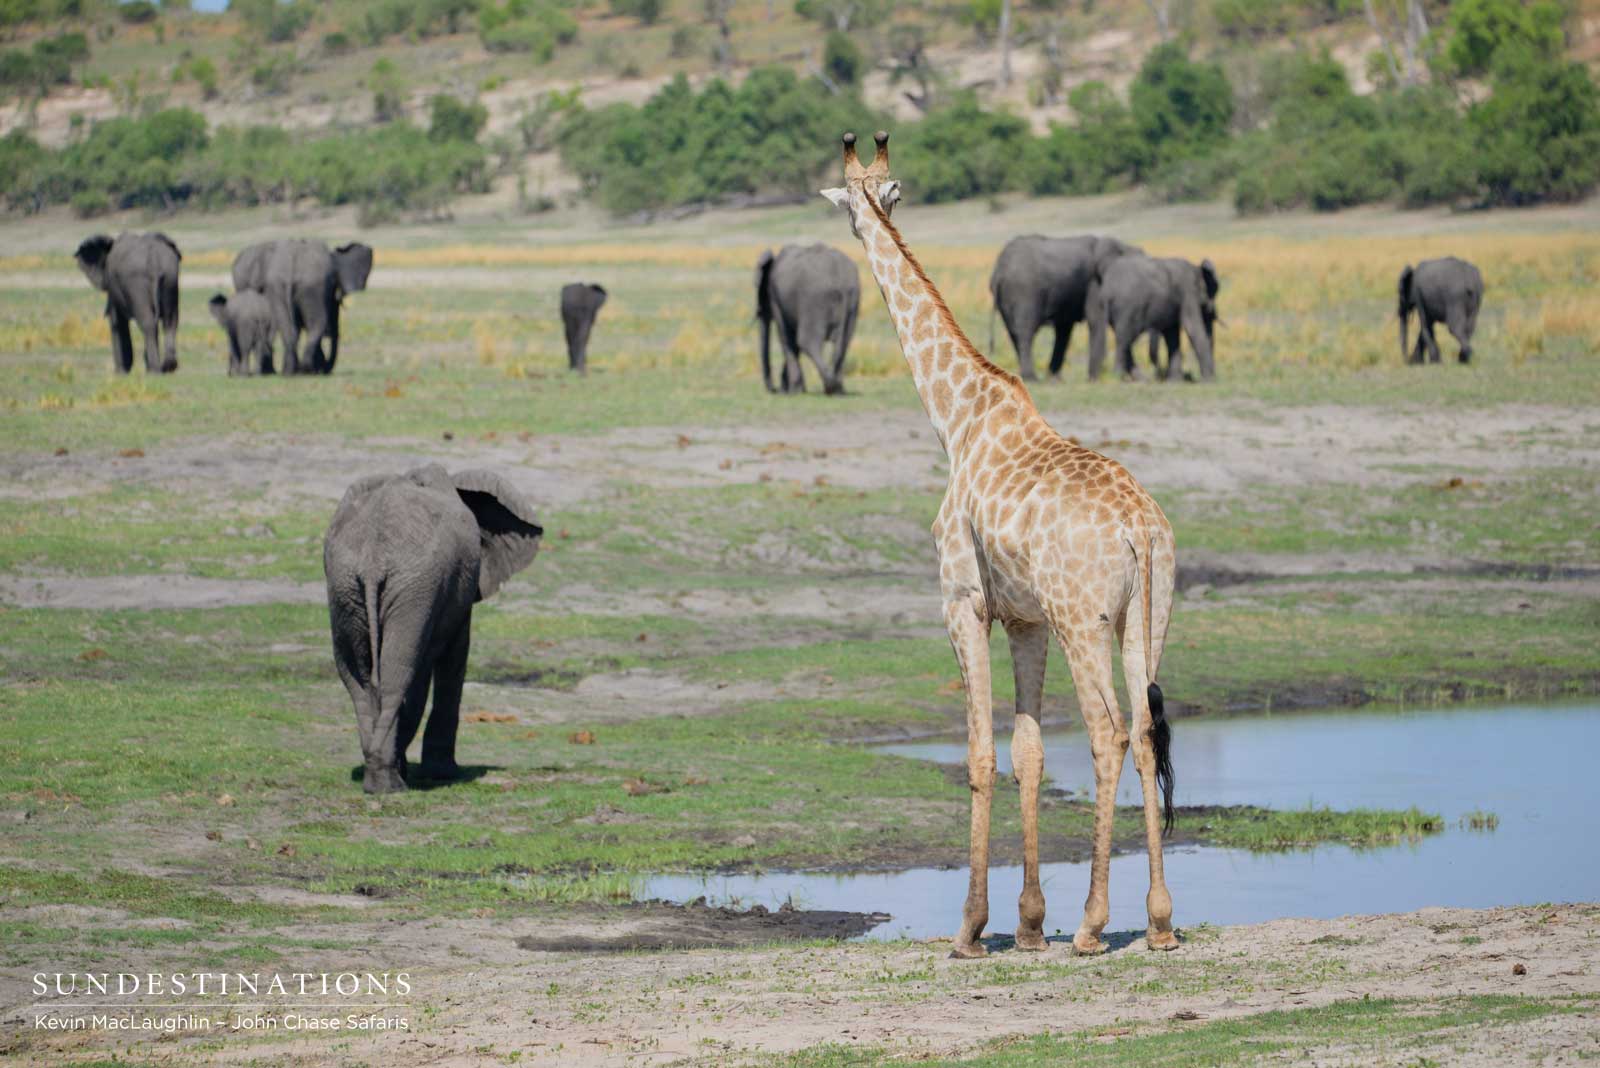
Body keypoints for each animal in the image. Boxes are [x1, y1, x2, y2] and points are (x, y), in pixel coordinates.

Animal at [74, 232, 181, 374]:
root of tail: (154, 261)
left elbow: (117, 323)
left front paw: (120, 373)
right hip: (170, 278)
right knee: (170, 321)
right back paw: (167, 367)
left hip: (136, 283)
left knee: (148, 323)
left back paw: (154, 370)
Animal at [232, 238, 373, 375]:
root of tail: (291, 266)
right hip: (311, 288)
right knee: (316, 325)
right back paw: (305, 369)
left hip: (279, 287)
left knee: (289, 329)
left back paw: (289, 371)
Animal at [324, 465, 543, 794]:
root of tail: (374, 558)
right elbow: (453, 657)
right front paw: (443, 774)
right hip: (408, 587)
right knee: (399, 673)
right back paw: (391, 784)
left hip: (347, 587)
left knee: (360, 679)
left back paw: (378, 780)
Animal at [756, 244, 860, 395]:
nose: (775, 389)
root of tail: (842, 282)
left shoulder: (775, 296)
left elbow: (787, 339)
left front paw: (794, 390)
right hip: (853, 299)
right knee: (843, 343)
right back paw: (838, 389)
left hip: (814, 299)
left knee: (807, 342)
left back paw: (830, 386)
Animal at [987, 234, 1142, 381]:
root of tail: (999, 270)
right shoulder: (1094, 284)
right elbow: (1096, 321)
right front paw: (1095, 378)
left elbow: (1064, 329)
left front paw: (1055, 378)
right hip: (1024, 291)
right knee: (1025, 333)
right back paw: (1031, 378)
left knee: (1013, 333)